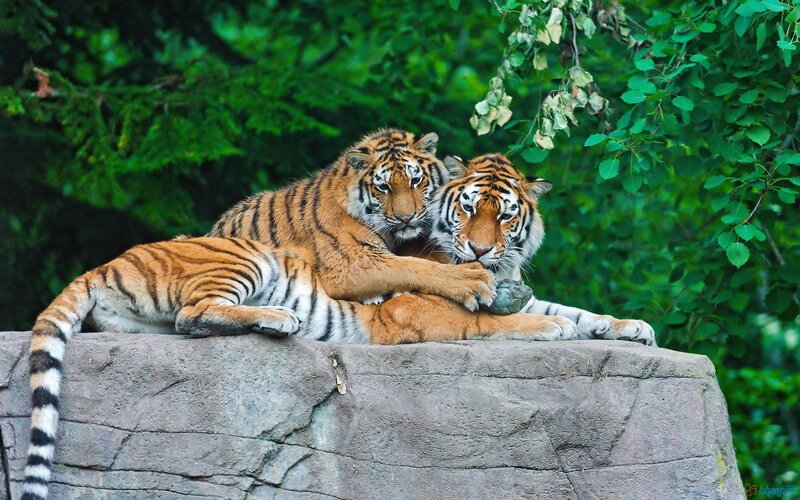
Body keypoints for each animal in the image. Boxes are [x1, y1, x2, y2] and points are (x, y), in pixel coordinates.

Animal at [208, 128, 495, 311]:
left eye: (415, 180)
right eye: (384, 187)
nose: (406, 218)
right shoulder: (352, 263)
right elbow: (413, 267)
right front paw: (472, 281)